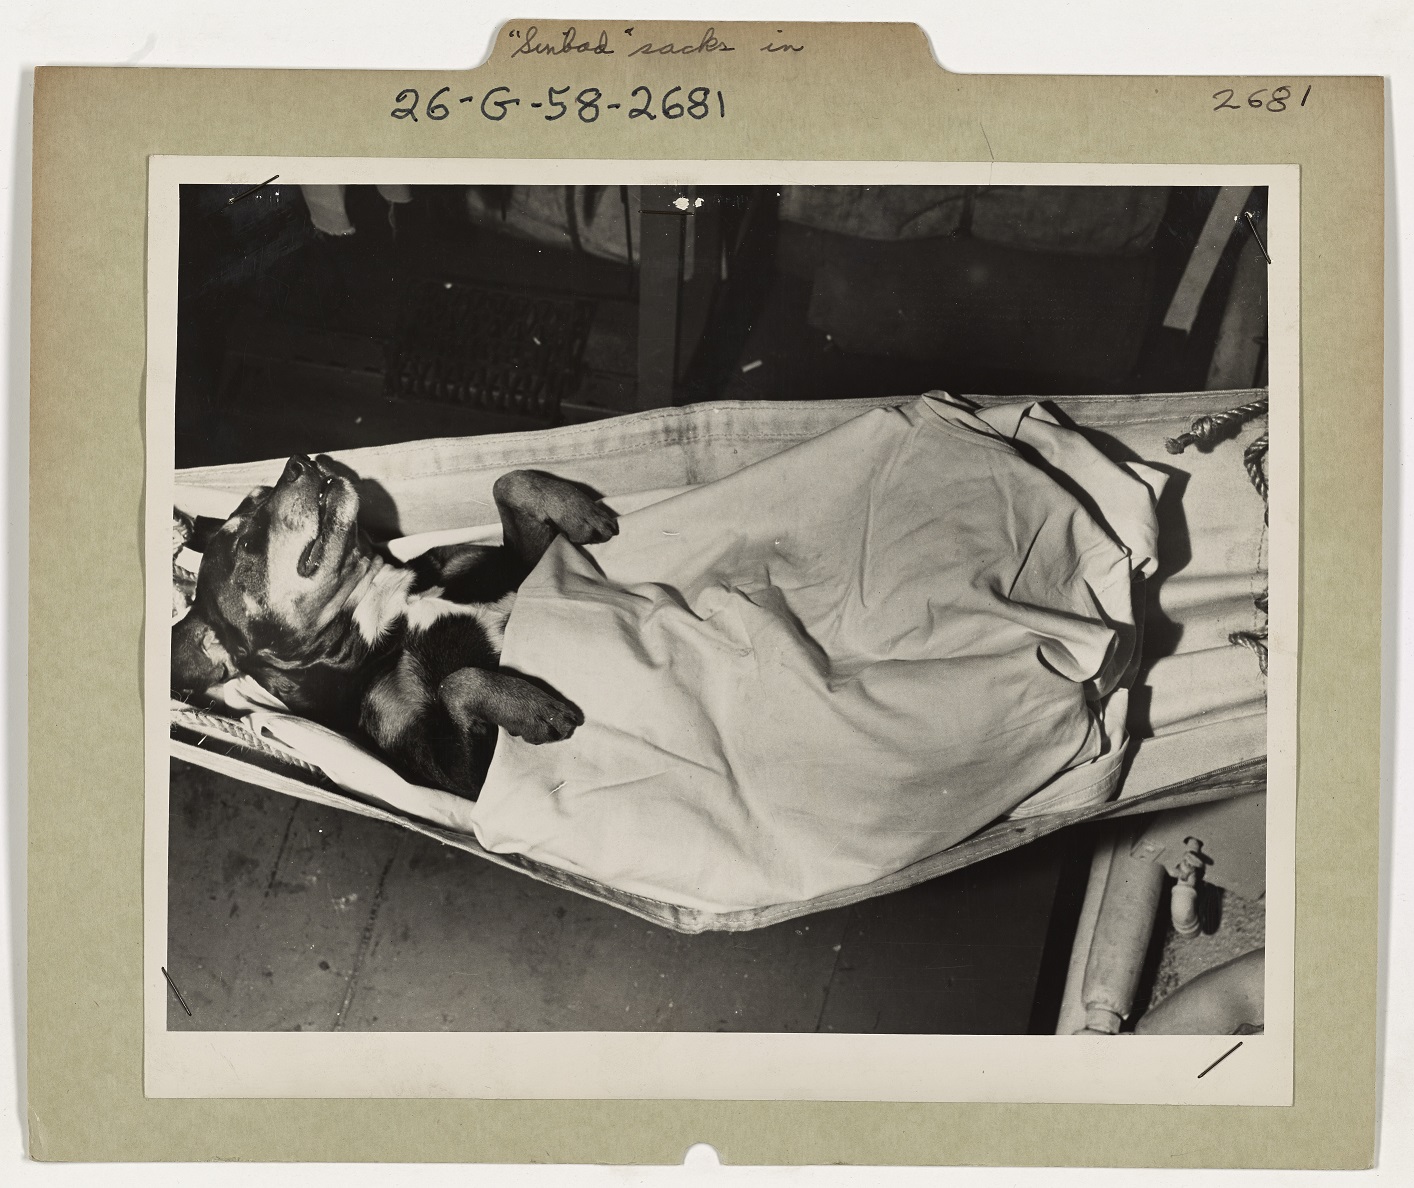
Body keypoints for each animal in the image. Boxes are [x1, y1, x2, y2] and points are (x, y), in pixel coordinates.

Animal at [173, 455, 616, 797]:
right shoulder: (459, 777)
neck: (382, 603)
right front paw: (531, 707)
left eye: (261, 493)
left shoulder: (518, 569)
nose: (299, 461)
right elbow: (456, 683)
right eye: (247, 545)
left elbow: (507, 481)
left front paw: (579, 510)